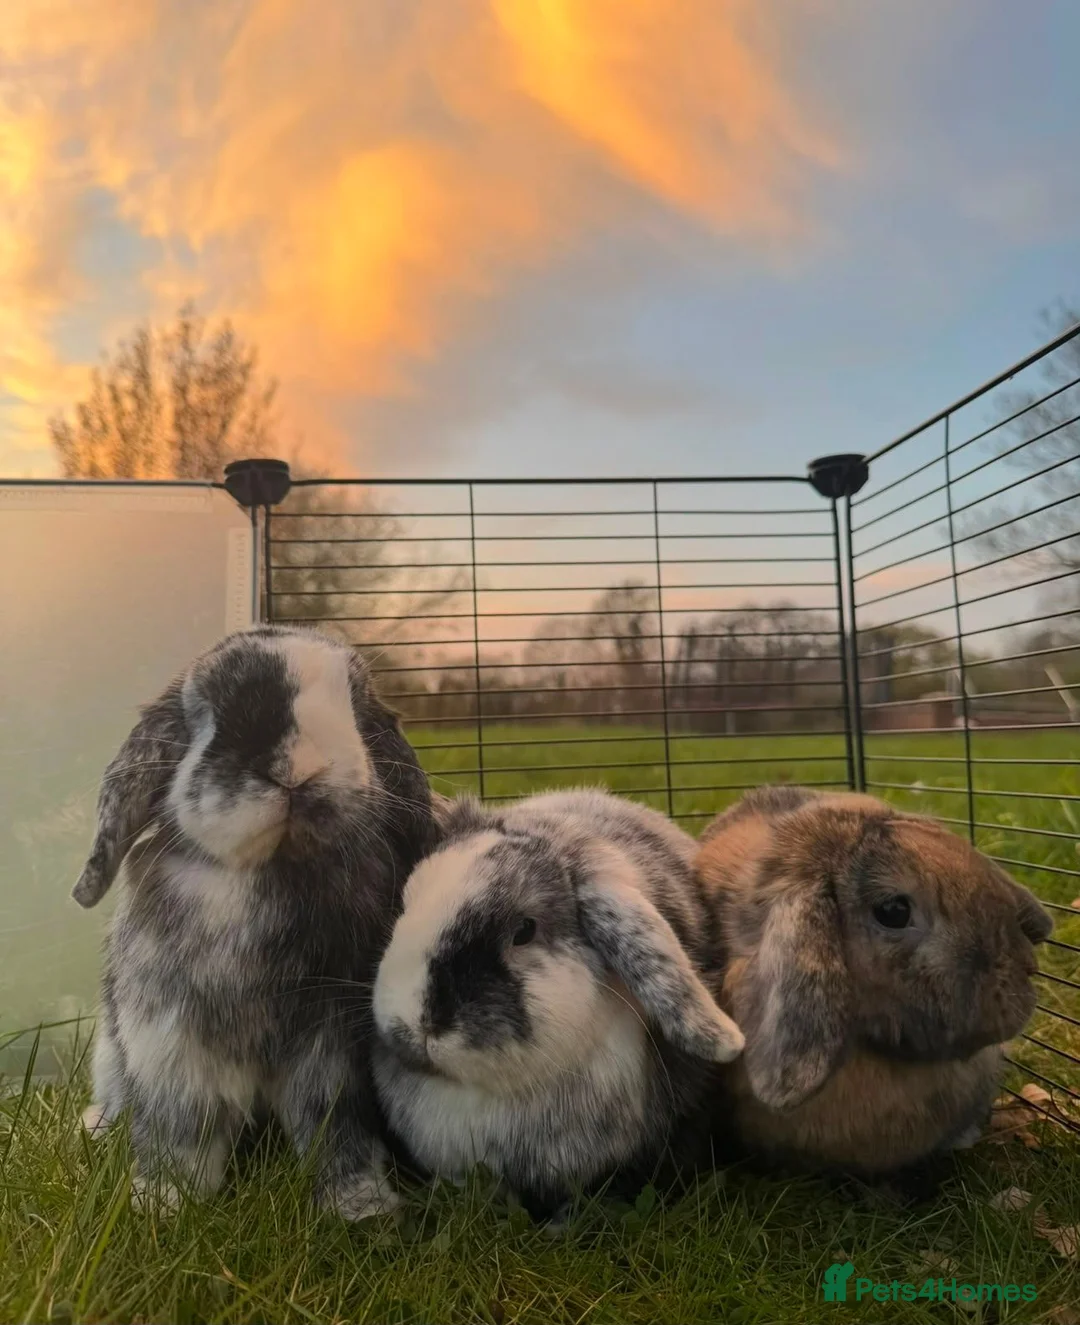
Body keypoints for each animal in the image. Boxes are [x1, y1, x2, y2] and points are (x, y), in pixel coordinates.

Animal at [73, 624, 438, 1218]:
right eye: (205, 708)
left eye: (356, 704)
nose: (296, 767)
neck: (269, 871)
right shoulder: (170, 1039)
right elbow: (181, 1126)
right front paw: (163, 1206)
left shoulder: (333, 1046)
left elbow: (334, 1127)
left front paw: (362, 1208)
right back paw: (94, 1128)